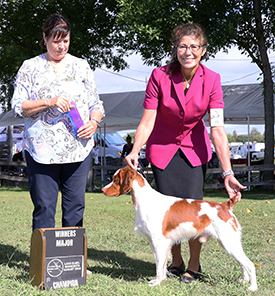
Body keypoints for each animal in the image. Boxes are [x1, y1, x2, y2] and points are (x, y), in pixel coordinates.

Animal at [102, 166, 258, 292]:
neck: (146, 200)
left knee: (249, 264)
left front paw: (157, 283)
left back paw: (252, 287)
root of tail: (225, 205)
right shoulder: (156, 242)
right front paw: (159, 280)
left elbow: (158, 265)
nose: (103, 190)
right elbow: (161, 265)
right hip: (230, 243)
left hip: (228, 242)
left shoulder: (159, 242)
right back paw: (243, 280)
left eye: (115, 180)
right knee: (242, 263)